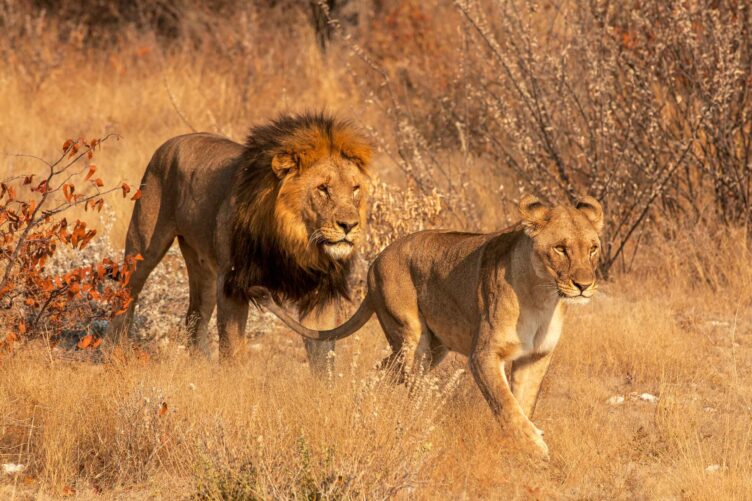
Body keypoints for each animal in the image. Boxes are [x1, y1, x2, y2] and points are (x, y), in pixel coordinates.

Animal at [106, 112, 372, 369]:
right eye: (323, 188)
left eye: (355, 188)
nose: (349, 225)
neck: (293, 243)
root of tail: (171, 142)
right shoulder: (233, 283)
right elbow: (232, 349)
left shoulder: (318, 292)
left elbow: (323, 355)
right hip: (143, 245)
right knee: (126, 296)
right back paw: (116, 354)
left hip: (202, 267)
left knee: (195, 317)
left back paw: (202, 369)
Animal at [257, 195, 604, 455]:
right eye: (560, 248)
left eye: (593, 248)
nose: (584, 285)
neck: (542, 296)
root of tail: (376, 261)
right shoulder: (483, 355)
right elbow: (505, 403)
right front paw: (534, 445)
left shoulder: (535, 357)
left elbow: (522, 403)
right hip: (413, 338)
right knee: (409, 384)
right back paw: (416, 422)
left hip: (434, 348)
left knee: (382, 371)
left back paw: (367, 404)